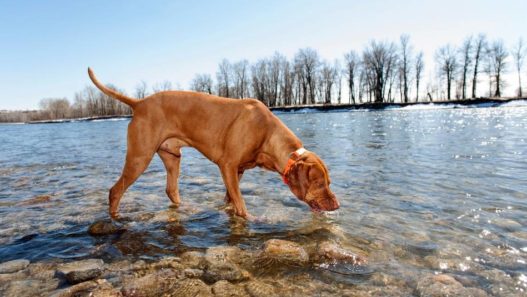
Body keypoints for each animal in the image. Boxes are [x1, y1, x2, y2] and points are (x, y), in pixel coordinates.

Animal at [88, 68, 340, 219]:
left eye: (329, 182)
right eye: (319, 184)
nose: (337, 206)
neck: (267, 133)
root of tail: (139, 103)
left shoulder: (238, 171)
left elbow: (230, 199)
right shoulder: (227, 165)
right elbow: (241, 204)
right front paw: (250, 220)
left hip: (172, 157)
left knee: (171, 190)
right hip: (139, 157)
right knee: (115, 191)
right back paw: (116, 219)